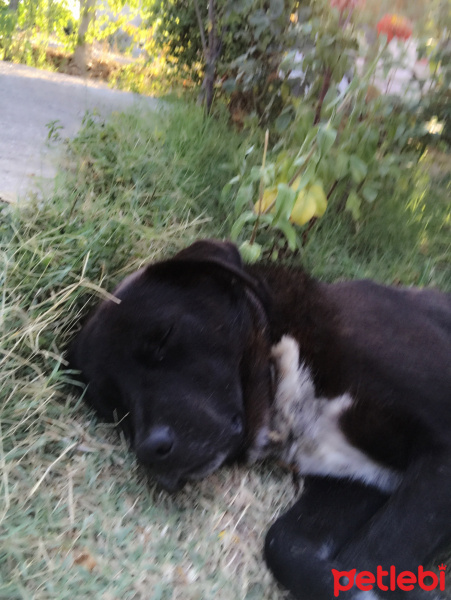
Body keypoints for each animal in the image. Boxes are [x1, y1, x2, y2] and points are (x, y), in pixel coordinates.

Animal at [69, 240, 451, 600]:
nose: (150, 451)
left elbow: (371, 556)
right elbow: (282, 544)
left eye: (163, 337)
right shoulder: (354, 482)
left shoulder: (440, 445)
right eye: (115, 405)